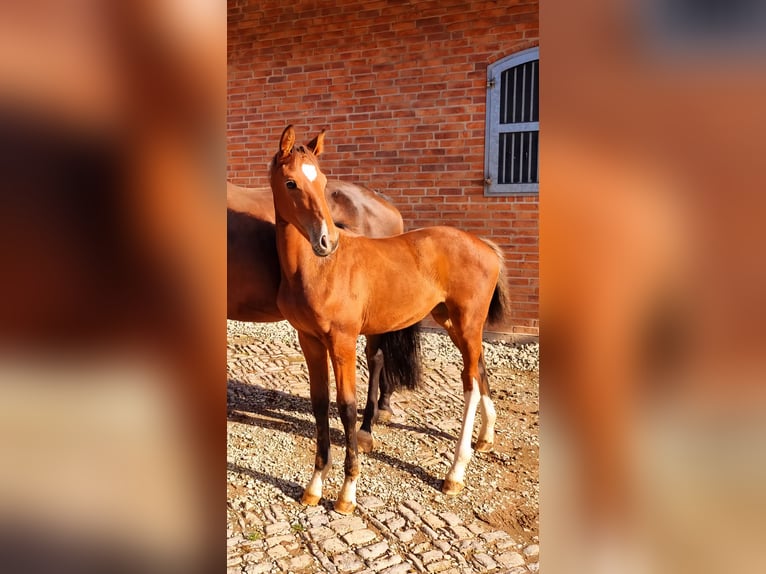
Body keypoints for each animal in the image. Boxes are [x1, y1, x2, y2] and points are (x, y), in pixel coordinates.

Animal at [269, 125, 511, 514]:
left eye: (322, 181)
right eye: (291, 182)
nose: (326, 241)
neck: (317, 270)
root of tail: (485, 246)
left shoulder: (343, 341)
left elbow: (346, 408)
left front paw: (347, 493)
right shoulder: (309, 340)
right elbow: (320, 404)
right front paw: (314, 487)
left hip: (468, 322)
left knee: (470, 384)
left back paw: (455, 472)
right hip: (453, 323)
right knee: (481, 369)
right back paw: (485, 439)